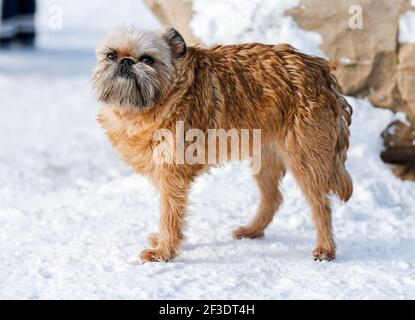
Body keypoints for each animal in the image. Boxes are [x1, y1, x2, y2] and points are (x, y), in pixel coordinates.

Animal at [92, 26, 352, 262]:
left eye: (147, 59)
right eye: (111, 55)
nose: (126, 61)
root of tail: (320, 70)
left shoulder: (172, 176)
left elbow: (169, 214)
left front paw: (163, 252)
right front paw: (162, 243)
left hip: (306, 160)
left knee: (320, 205)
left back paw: (325, 248)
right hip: (264, 158)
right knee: (273, 198)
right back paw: (252, 230)